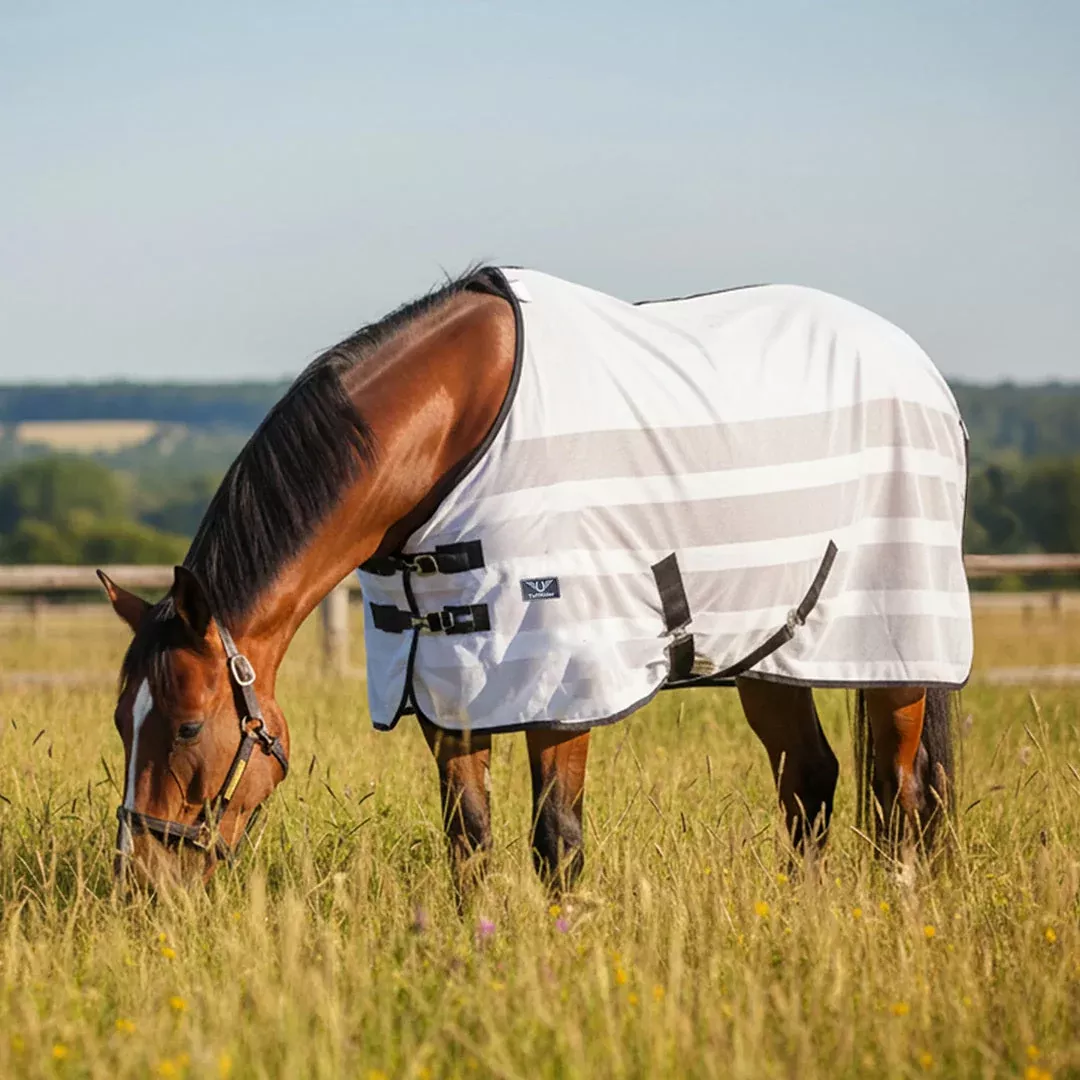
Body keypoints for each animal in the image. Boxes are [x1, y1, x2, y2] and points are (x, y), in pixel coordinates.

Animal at [100, 266, 970, 893]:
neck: (459, 425)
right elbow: (469, 837)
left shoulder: (561, 685)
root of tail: (922, 371)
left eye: (186, 727)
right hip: (771, 654)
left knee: (902, 792)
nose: (142, 883)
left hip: (897, 653)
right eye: (120, 722)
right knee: (811, 784)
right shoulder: (446, 683)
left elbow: (558, 840)